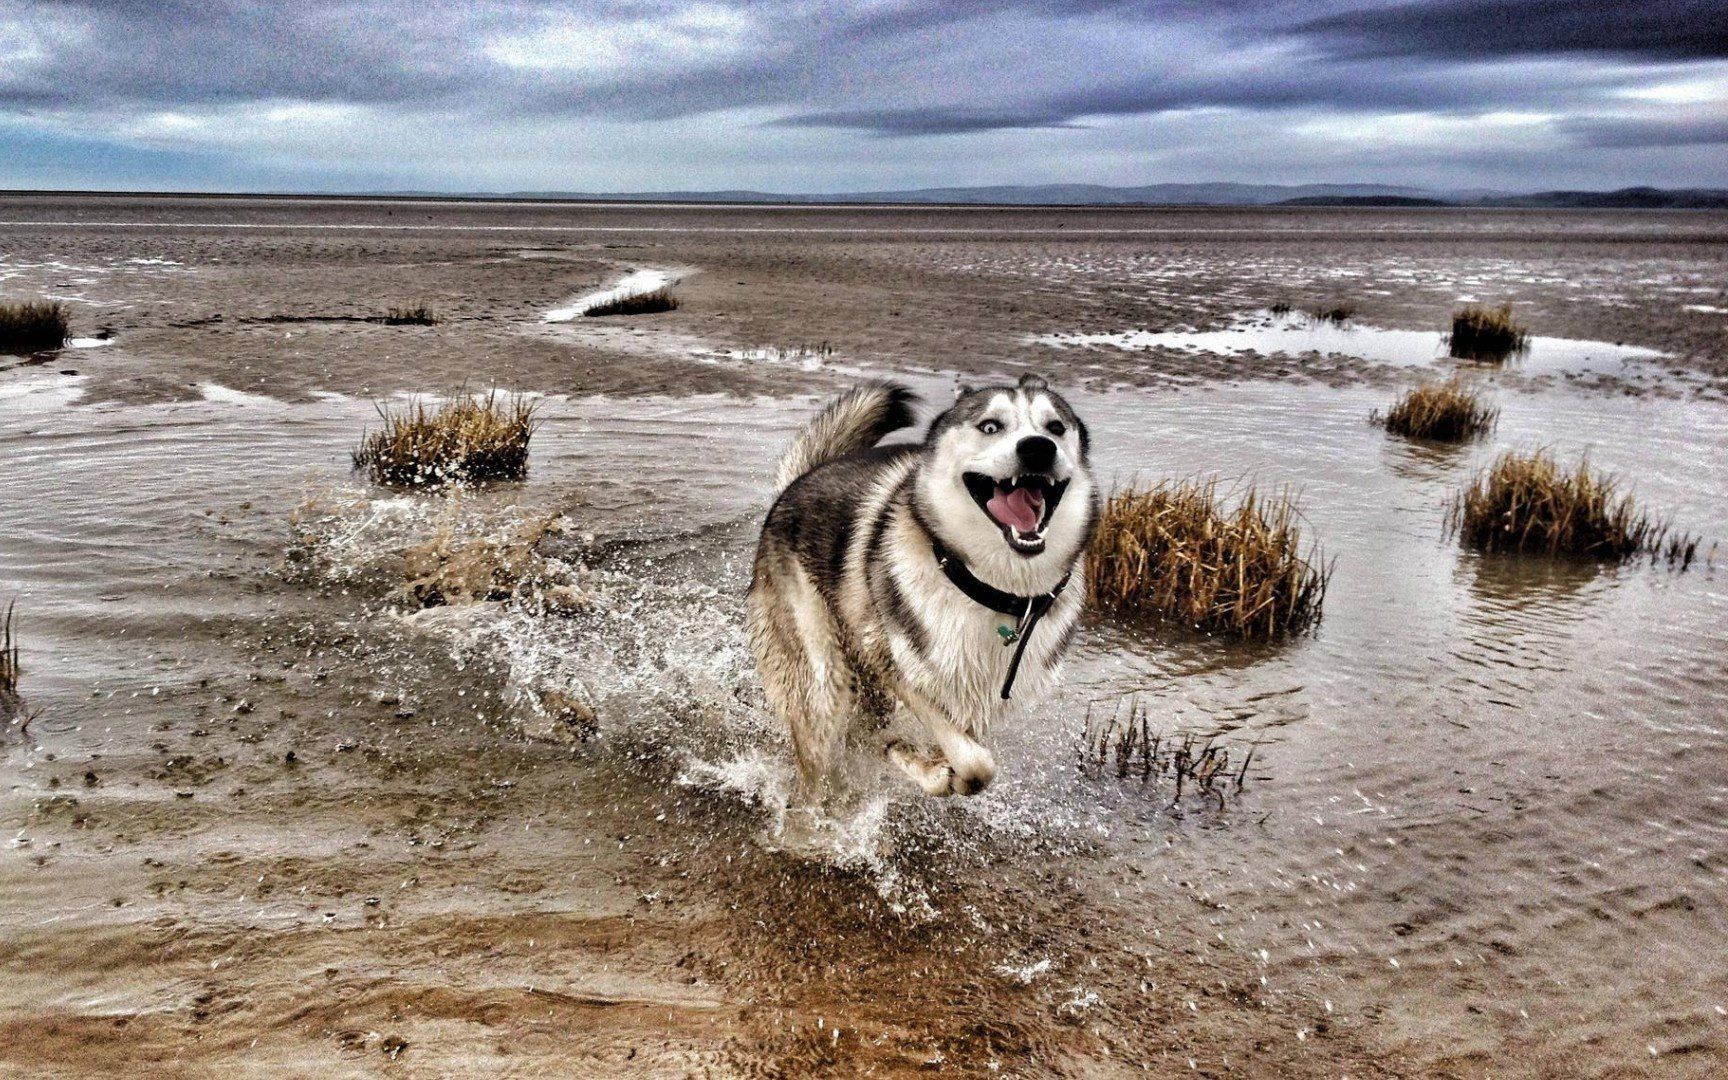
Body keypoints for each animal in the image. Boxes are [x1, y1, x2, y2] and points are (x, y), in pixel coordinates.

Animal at [749, 374, 1099, 794]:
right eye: (990, 426)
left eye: (1056, 428)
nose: (1038, 448)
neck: (989, 588)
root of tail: (796, 484)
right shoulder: (888, 661)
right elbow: (976, 763)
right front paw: (944, 773)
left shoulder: (978, 701)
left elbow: (962, 748)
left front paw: (937, 766)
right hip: (823, 676)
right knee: (829, 744)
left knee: (868, 735)